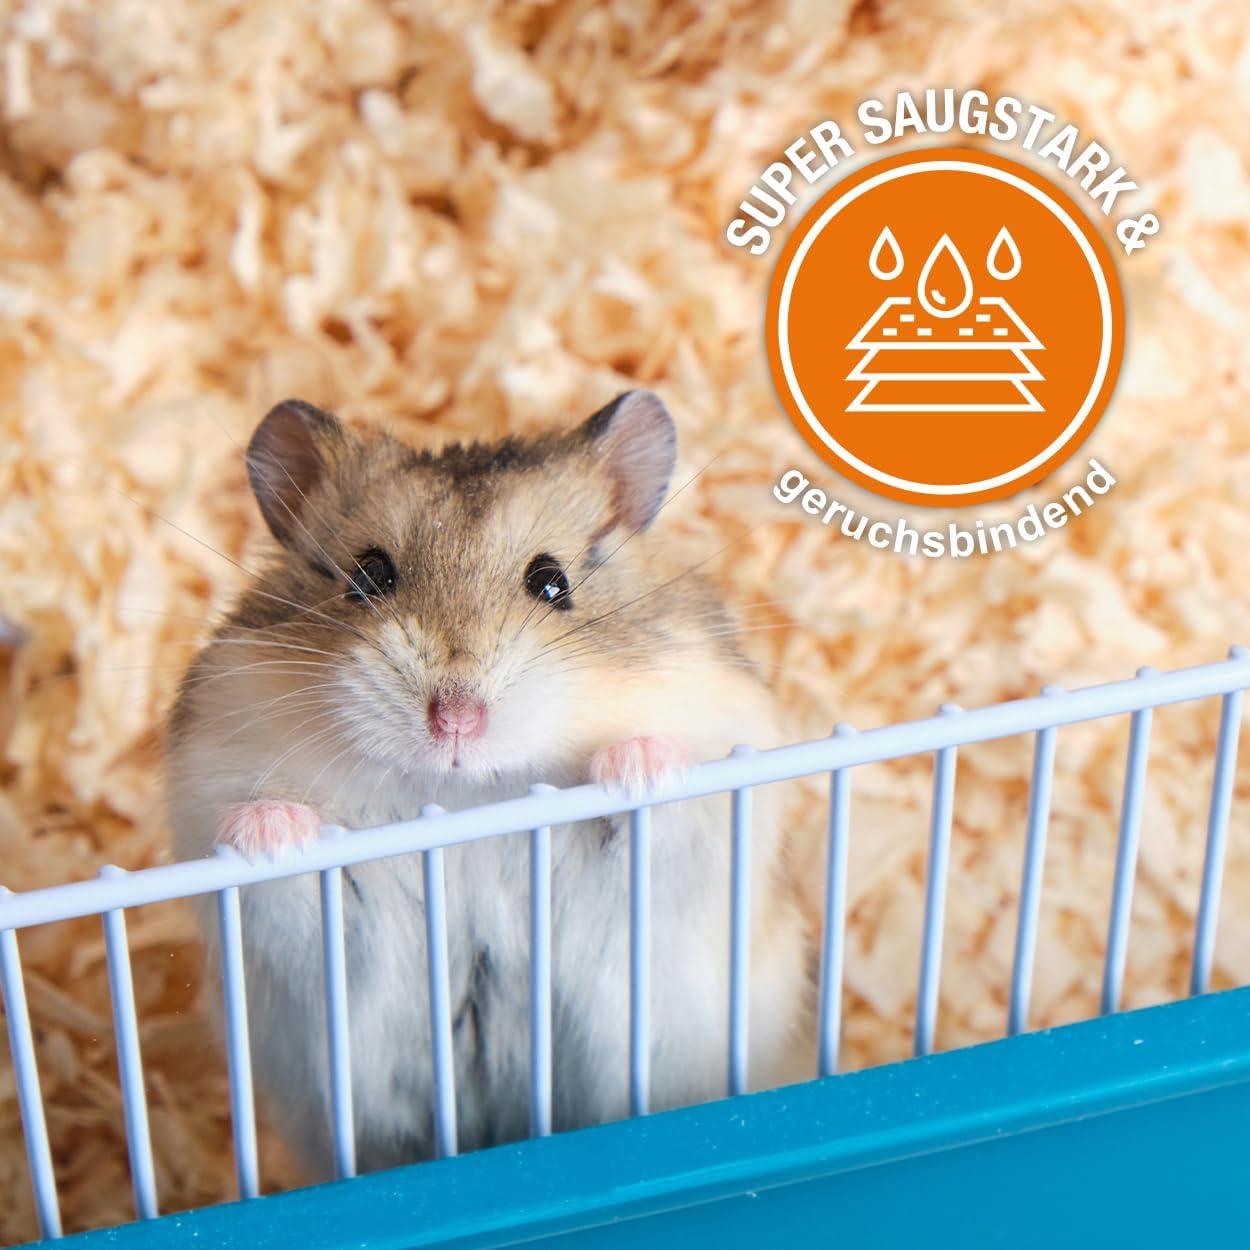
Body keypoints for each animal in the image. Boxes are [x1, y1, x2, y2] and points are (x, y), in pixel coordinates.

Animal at [166, 390, 812, 1179]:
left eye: (551, 581)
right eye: (369, 575)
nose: (455, 719)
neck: (469, 796)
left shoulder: (708, 826)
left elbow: (658, 813)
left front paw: (636, 766)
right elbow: (285, 871)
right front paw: (268, 831)